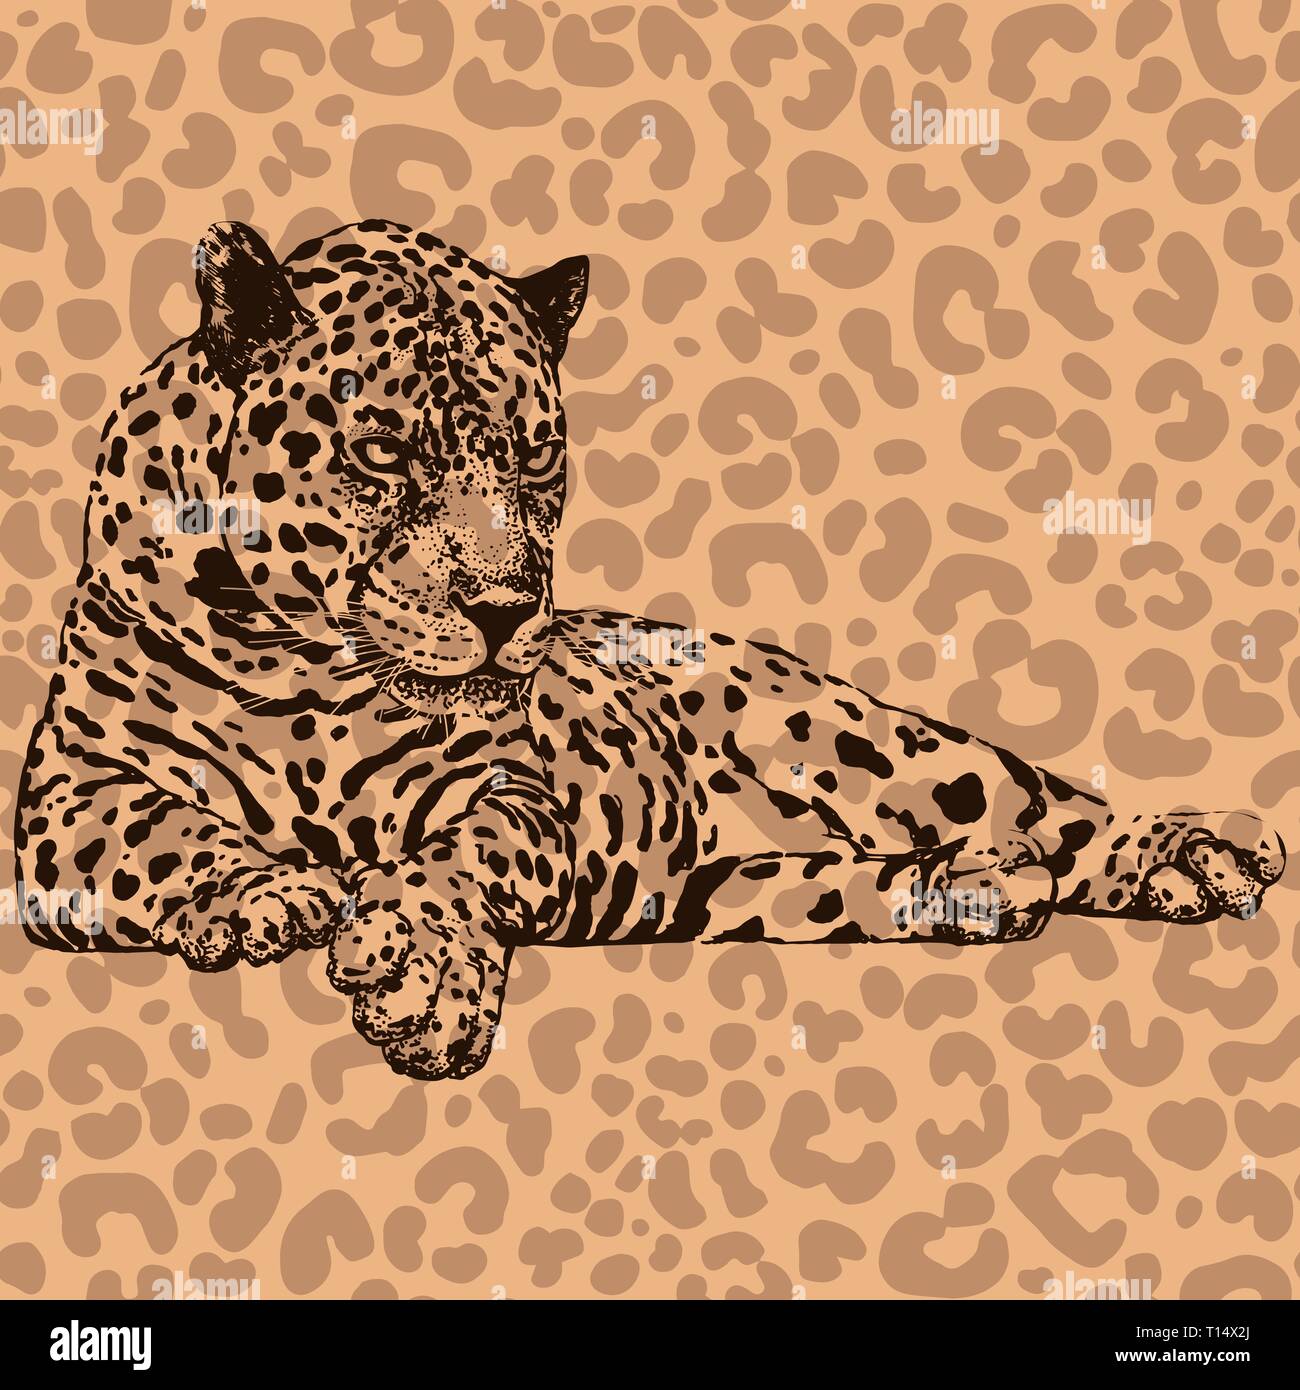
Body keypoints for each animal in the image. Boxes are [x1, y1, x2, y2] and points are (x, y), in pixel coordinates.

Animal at [14, 219, 1285, 1083]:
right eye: (382, 451)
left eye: (535, 454)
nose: (506, 607)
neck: (308, 668)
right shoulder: (67, 794)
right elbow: (164, 829)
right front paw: (270, 893)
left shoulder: (512, 786)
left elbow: (462, 857)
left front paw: (422, 968)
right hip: (720, 894)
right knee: (840, 883)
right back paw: (972, 888)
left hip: (861, 738)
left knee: (1040, 803)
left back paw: (1196, 851)